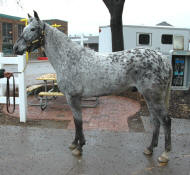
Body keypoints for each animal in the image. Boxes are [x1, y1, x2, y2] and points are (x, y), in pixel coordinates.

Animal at [14, 10, 173, 163]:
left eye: (33, 29)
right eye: (24, 28)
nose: (16, 48)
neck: (69, 59)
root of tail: (163, 59)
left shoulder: (73, 97)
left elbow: (78, 122)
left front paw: (79, 148)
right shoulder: (72, 98)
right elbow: (75, 121)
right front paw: (75, 143)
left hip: (153, 96)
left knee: (165, 121)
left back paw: (165, 155)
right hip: (149, 97)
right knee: (155, 121)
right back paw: (149, 149)